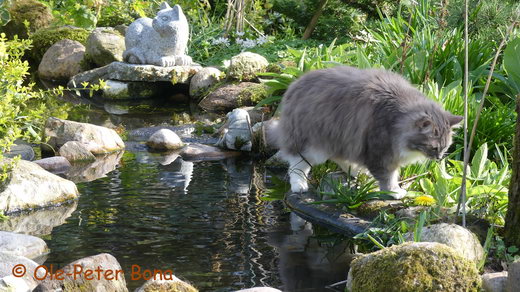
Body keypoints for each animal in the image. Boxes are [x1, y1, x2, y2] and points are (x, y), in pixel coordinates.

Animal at [276, 66, 464, 198]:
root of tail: (294, 85)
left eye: (445, 148)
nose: (439, 158)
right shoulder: (381, 152)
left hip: (339, 138)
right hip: (311, 145)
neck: (396, 117)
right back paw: (299, 186)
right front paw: (394, 192)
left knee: (339, 158)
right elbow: (388, 177)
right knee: (296, 165)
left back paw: (358, 173)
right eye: (434, 148)